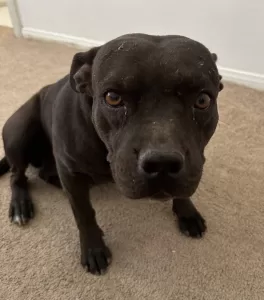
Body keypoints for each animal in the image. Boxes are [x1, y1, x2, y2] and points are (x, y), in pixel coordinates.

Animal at [0, 34, 223, 276]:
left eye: (203, 100)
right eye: (113, 98)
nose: (162, 163)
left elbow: (183, 190)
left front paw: (187, 212)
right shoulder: (70, 171)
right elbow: (84, 213)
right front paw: (93, 249)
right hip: (19, 130)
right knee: (17, 175)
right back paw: (21, 206)